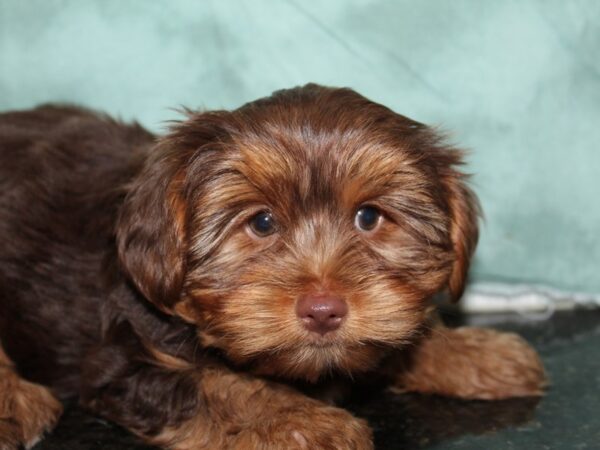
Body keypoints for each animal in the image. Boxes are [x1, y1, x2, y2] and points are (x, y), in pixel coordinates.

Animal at [0, 85, 544, 450]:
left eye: (369, 218)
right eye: (261, 223)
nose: (324, 310)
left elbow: (399, 331)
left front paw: (476, 353)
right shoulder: (124, 362)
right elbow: (221, 385)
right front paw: (308, 423)